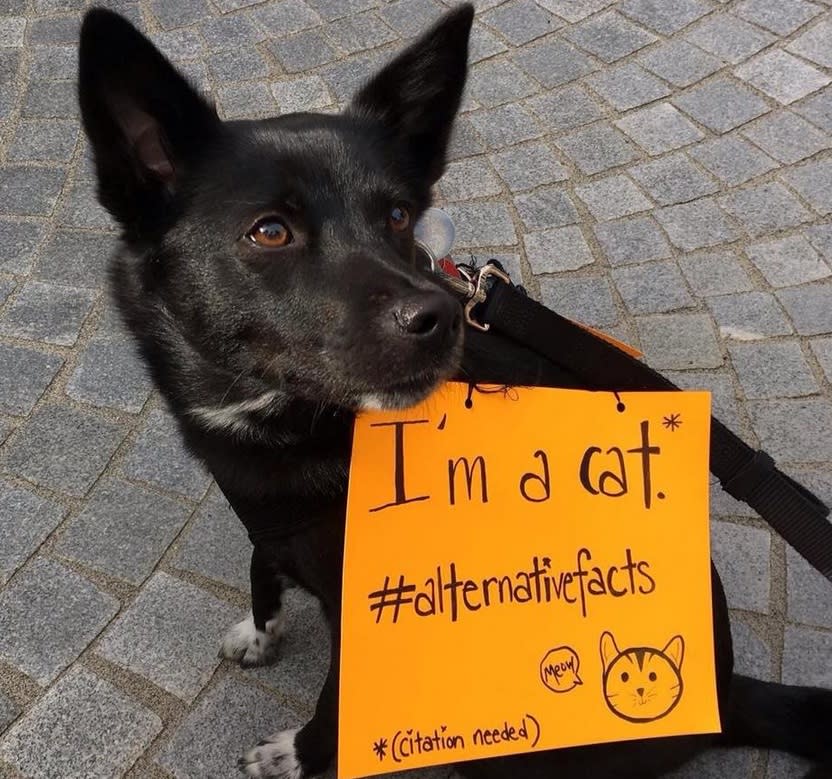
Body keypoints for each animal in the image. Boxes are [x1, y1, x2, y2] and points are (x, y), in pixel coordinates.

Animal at [79, 7, 832, 779]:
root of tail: (724, 695)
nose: (438, 316)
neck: (289, 425)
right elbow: (263, 569)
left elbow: (336, 701)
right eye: (270, 231)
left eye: (398, 216)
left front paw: (299, 753)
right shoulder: (268, 524)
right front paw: (261, 633)